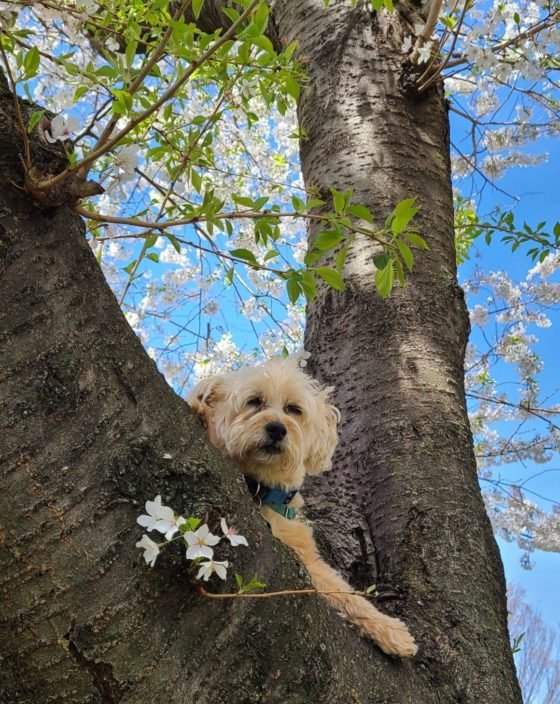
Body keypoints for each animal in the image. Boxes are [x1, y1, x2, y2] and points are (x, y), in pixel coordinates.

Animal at [188, 354, 416, 656]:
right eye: (254, 401)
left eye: (293, 409)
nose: (276, 428)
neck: (260, 489)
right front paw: (199, 410)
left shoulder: (307, 559)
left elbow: (342, 591)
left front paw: (391, 631)